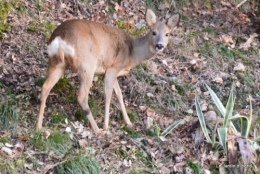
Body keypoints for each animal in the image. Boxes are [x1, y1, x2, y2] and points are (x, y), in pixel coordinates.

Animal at [36, 8, 180, 134]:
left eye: (167, 34)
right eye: (153, 32)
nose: (160, 45)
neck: (132, 53)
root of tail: (60, 39)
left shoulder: (112, 72)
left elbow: (119, 94)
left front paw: (128, 122)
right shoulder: (112, 68)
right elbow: (109, 96)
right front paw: (106, 126)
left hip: (57, 63)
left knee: (45, 87)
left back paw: (39, 127)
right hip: (87, 65)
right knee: (82, 96)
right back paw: (97, 129)